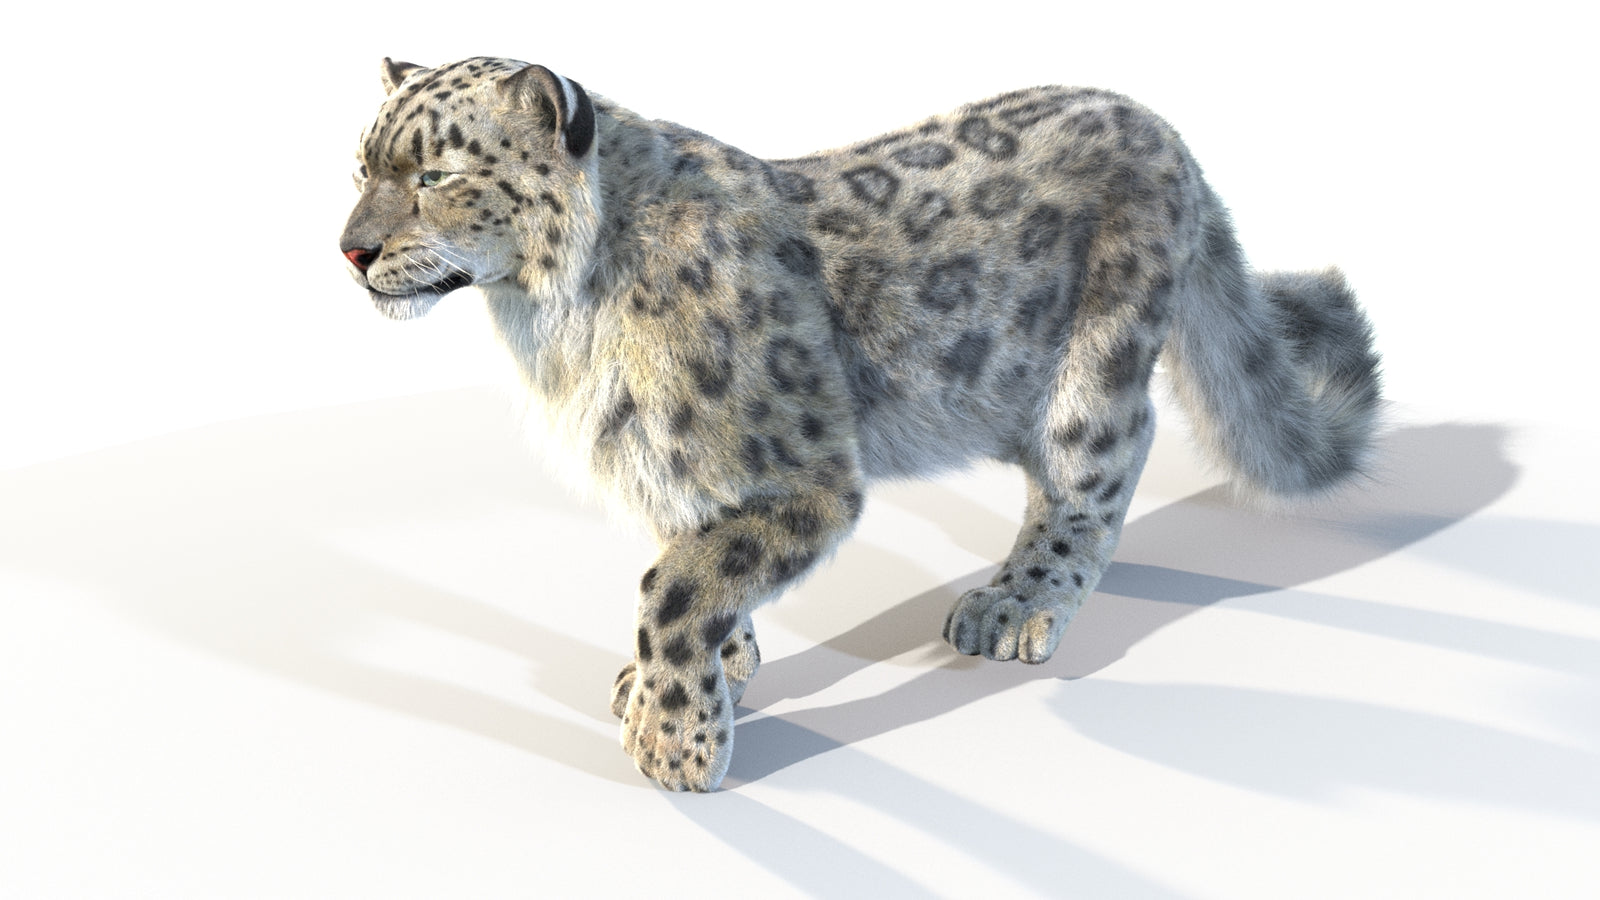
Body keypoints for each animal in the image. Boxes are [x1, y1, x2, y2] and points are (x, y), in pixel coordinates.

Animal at [339, 56, 1382, 792]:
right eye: (359, 166)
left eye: (436, 173)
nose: (351, 249)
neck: (552, 323)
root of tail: (1162, 127)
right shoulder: (674, 463)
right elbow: (699, 559)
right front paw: (708, 673)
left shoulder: (807, 475)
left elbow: (675, 582)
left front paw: (675, 744)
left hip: (1095, 366)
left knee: (1093, 476)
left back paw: (1013, 605)